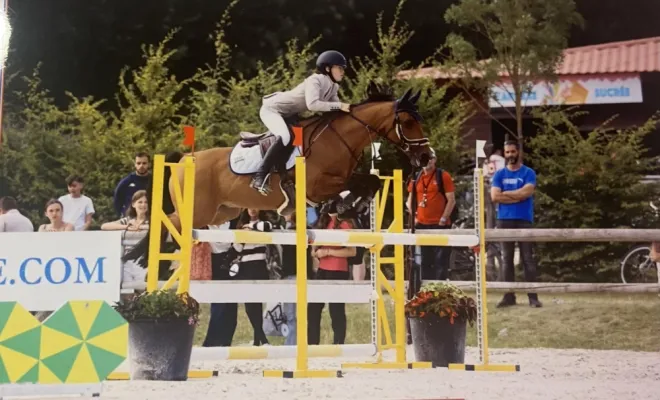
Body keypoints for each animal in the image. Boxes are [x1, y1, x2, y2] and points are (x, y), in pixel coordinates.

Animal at [124, 81, 434, 268]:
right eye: (408, 122)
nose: (427, 157)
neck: (338, 139)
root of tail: (183, 160)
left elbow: (370, 181)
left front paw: (348, 207)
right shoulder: (316, 186)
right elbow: (356, 183)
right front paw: (344, 206)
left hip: (221, 211)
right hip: (198, 211)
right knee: (168, 221)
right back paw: (146, 257)